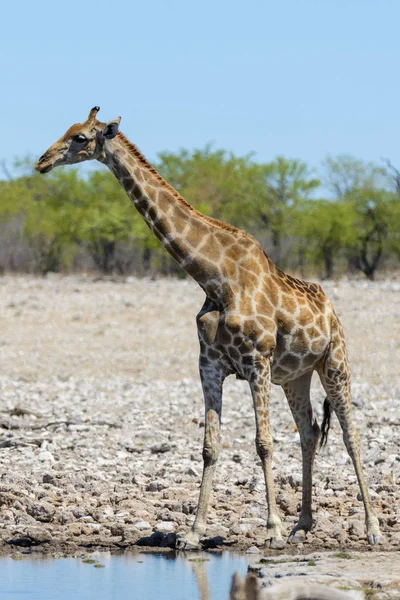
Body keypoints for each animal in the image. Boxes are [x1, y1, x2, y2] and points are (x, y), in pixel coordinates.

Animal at [36, 106, 382, 548]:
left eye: (80, 137)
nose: (42, 161)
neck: (214, 278)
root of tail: (331, 310)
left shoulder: (256, 362)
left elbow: (263, 443)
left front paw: (272, 529)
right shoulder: (210, 365)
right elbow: (210, 447)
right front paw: (193, 532)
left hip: (334, 362)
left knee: (350, 436)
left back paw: (370, 528)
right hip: (295, 377)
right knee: (307, 432)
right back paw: (304, 524)